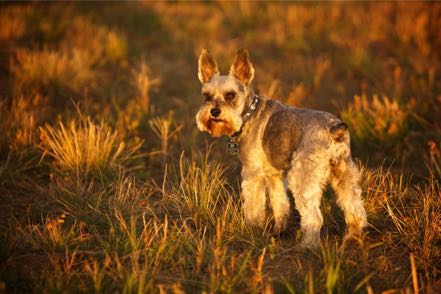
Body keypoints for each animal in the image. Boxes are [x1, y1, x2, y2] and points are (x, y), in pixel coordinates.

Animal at [194, 49, 366, 247]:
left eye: (230, 95)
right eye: (206, 96)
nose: (214, 111)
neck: (249, 113)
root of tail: (333, 128)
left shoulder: (252, 174)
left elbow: (254, 206)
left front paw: (252, 229)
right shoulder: (274, 176)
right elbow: (280, 203)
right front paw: (279, 230)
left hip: (302, 178)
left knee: (313, 217)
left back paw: (308, 246)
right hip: (344, 173)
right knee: (354, 207)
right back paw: (353, 237)